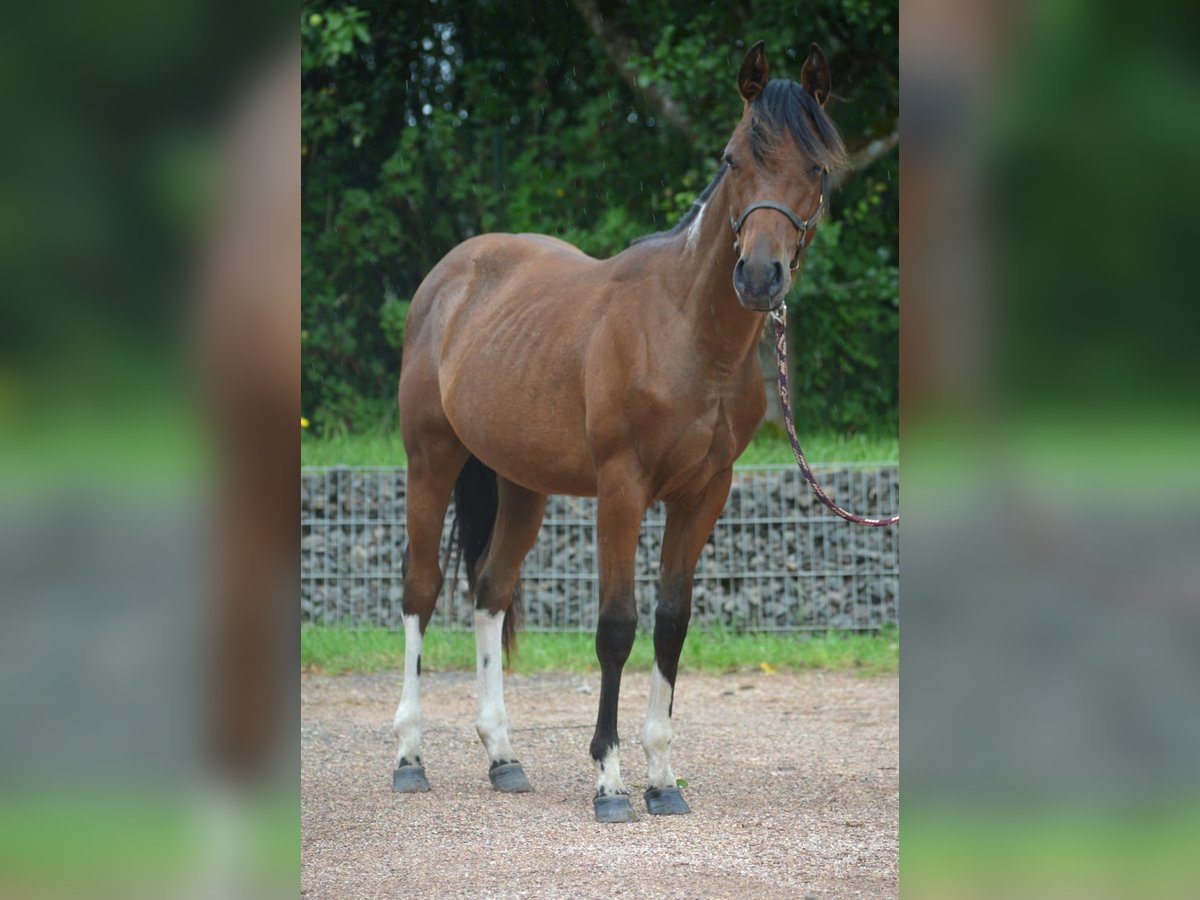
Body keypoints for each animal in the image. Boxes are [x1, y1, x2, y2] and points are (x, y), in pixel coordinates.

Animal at [391, 40, 844, 825]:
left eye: (814, 168)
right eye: (732, 159)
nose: (759, 276)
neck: (687, 336)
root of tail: (449, 276)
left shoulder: (705, 493)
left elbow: (670, 622)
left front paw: (662, 778)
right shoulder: (622, 488)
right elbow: (616, 626)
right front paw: (609, 780)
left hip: (522, 484)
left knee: (490, 590)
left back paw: (503, 757)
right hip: (432, 459)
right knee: (422, 591)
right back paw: (410, 757)